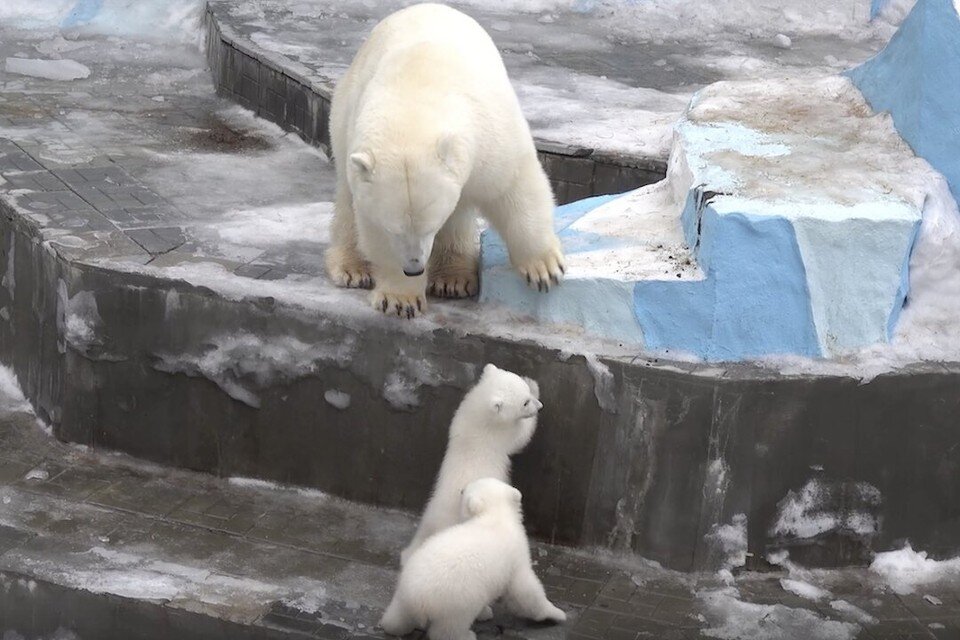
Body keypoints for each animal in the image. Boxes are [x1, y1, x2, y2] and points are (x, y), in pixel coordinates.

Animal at [328, 2, 564, 318]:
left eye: (430, 227)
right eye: (394, 230)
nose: (414, 268)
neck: (414, 99)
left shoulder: (488, 131)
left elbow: (512, 185)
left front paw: (544, 269)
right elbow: (373, 227)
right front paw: (400, 298)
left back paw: (453, 278)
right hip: (344, 116)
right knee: (346, 196)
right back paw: (352, 269)